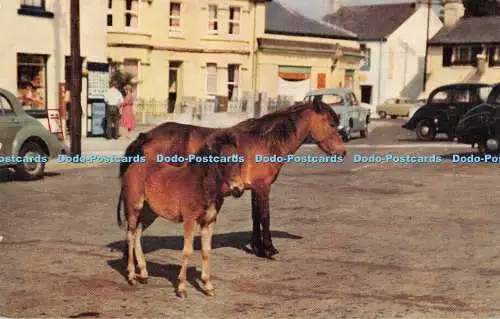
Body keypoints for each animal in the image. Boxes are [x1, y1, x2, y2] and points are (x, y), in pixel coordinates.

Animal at [118, 99, 344, 262]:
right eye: (332, 123)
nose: (342, 152)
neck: (265, 140)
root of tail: (146, 136)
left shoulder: (254, 189)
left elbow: (255, 217)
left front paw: (257, 248)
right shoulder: (263, 188)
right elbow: (265, 217)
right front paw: (269, 249)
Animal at [119, 132, 244, 298]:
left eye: (240, 159)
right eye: (222, 159)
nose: (238, 190)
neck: (202, 184)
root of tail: (131, 167)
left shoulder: (209, 221)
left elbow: (206, 250)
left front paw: (208, 286)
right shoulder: (190, 220)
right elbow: (187, 251)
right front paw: (182, 288)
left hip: (149, 213)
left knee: (137, 233)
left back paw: (144, 274)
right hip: (134, 208)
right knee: (130, 235)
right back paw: (132, 276)